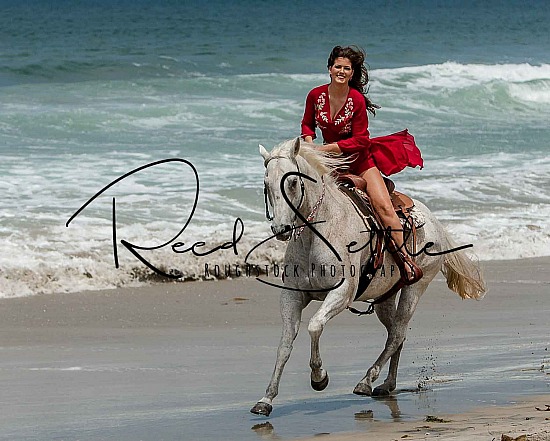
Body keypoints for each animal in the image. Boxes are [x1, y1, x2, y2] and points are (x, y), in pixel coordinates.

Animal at [251, 138, 488, 416]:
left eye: (292, 182)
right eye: (266, 184)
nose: (281, 229)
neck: (317, 234)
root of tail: (434, 221)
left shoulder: (342, 293)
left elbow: (314, 325)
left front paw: (319, 377)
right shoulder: (291, 297)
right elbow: (285, 345)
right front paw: (266, 399)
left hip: (415, 288)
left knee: (396, 334)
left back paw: (366, 381)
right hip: (386, 297)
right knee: (397, 335)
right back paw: (387, 384)